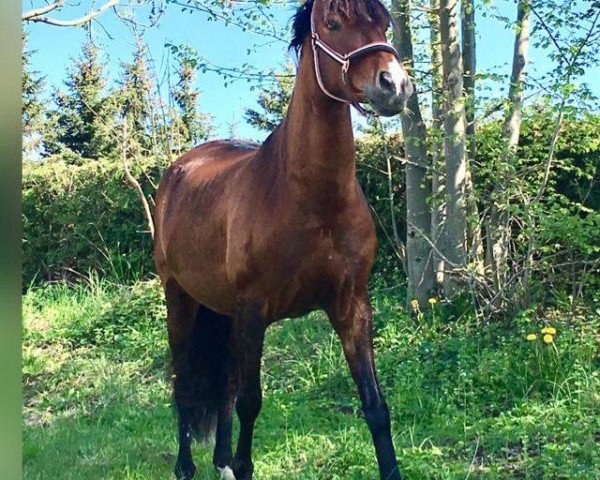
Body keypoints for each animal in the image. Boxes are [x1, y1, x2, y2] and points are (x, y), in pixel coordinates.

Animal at [154, 1, 412, 478]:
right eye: (333, 23)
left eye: (384, 22)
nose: (394, 84)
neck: (310, 199)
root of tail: (179, 170)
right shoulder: (254, 310)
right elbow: (250, 403)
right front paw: (243, 464)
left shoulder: (351, 305)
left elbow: (375, 406)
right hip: (179, 298)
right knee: (185, 381)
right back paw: (186, 466)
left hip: (223, 310)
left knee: (224, 382)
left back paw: (221, 462)